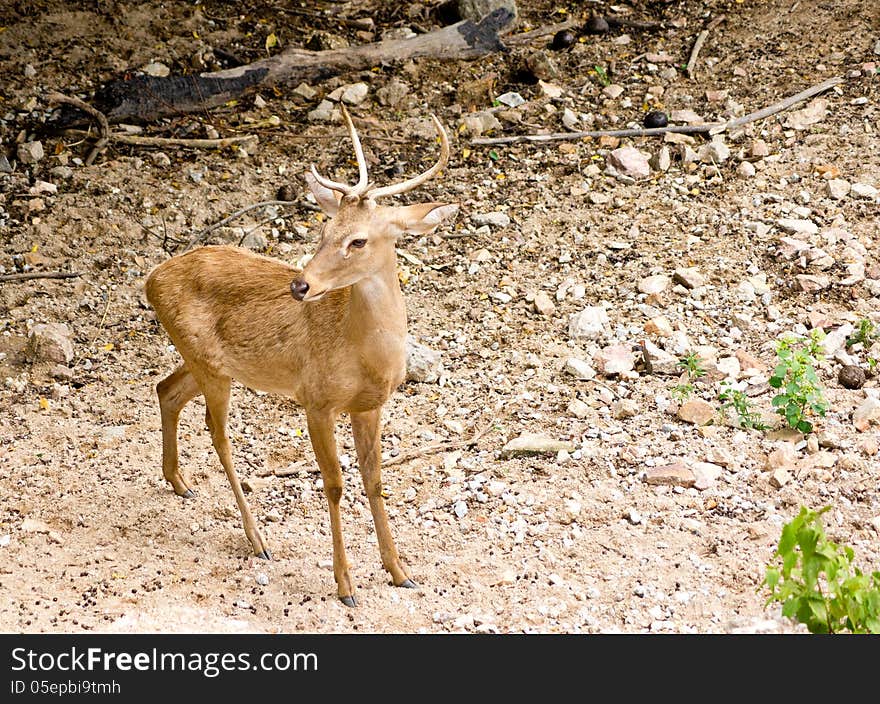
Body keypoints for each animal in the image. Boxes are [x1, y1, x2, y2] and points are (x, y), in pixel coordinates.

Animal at [143, 104, 460, 604]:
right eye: (325, 226)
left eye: (358, 240)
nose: (300, 285)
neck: (363, 355)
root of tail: (150, 279)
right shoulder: (316, 400)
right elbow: (334, 484)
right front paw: (345, 584)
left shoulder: (370, 406)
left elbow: (375, 481)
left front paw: (399, 570)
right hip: (210, 366)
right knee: (218, 433)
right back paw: (257, 539)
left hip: (209, 362)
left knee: (166, 389)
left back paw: (179, 482)